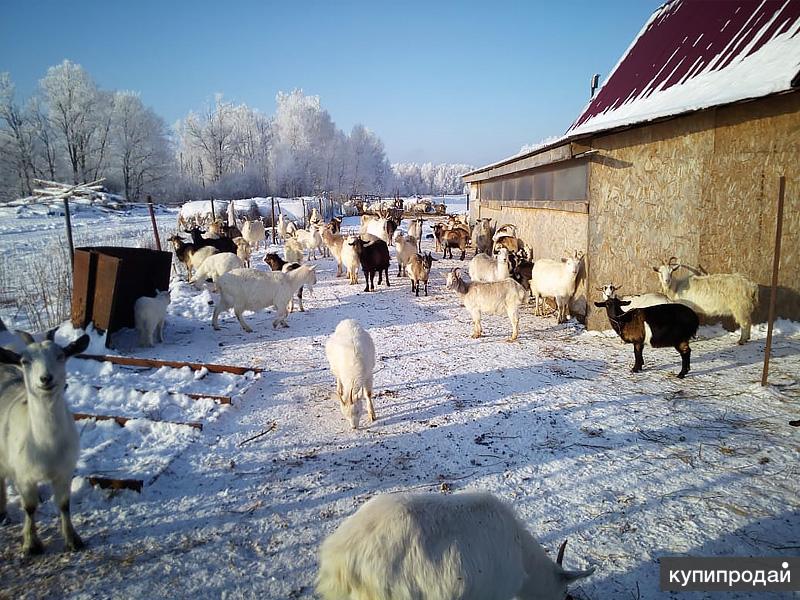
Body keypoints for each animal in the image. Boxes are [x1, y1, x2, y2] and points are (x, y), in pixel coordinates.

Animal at [0, 330, 90, 556]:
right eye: (25, 361)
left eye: (61, 355)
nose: (45, 378)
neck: (46, 444)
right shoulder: (24, 476)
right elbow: (29, 508)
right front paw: (31, 543)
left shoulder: (65, 471)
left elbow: (64, 504)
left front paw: (73, 539)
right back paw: (3, 512)